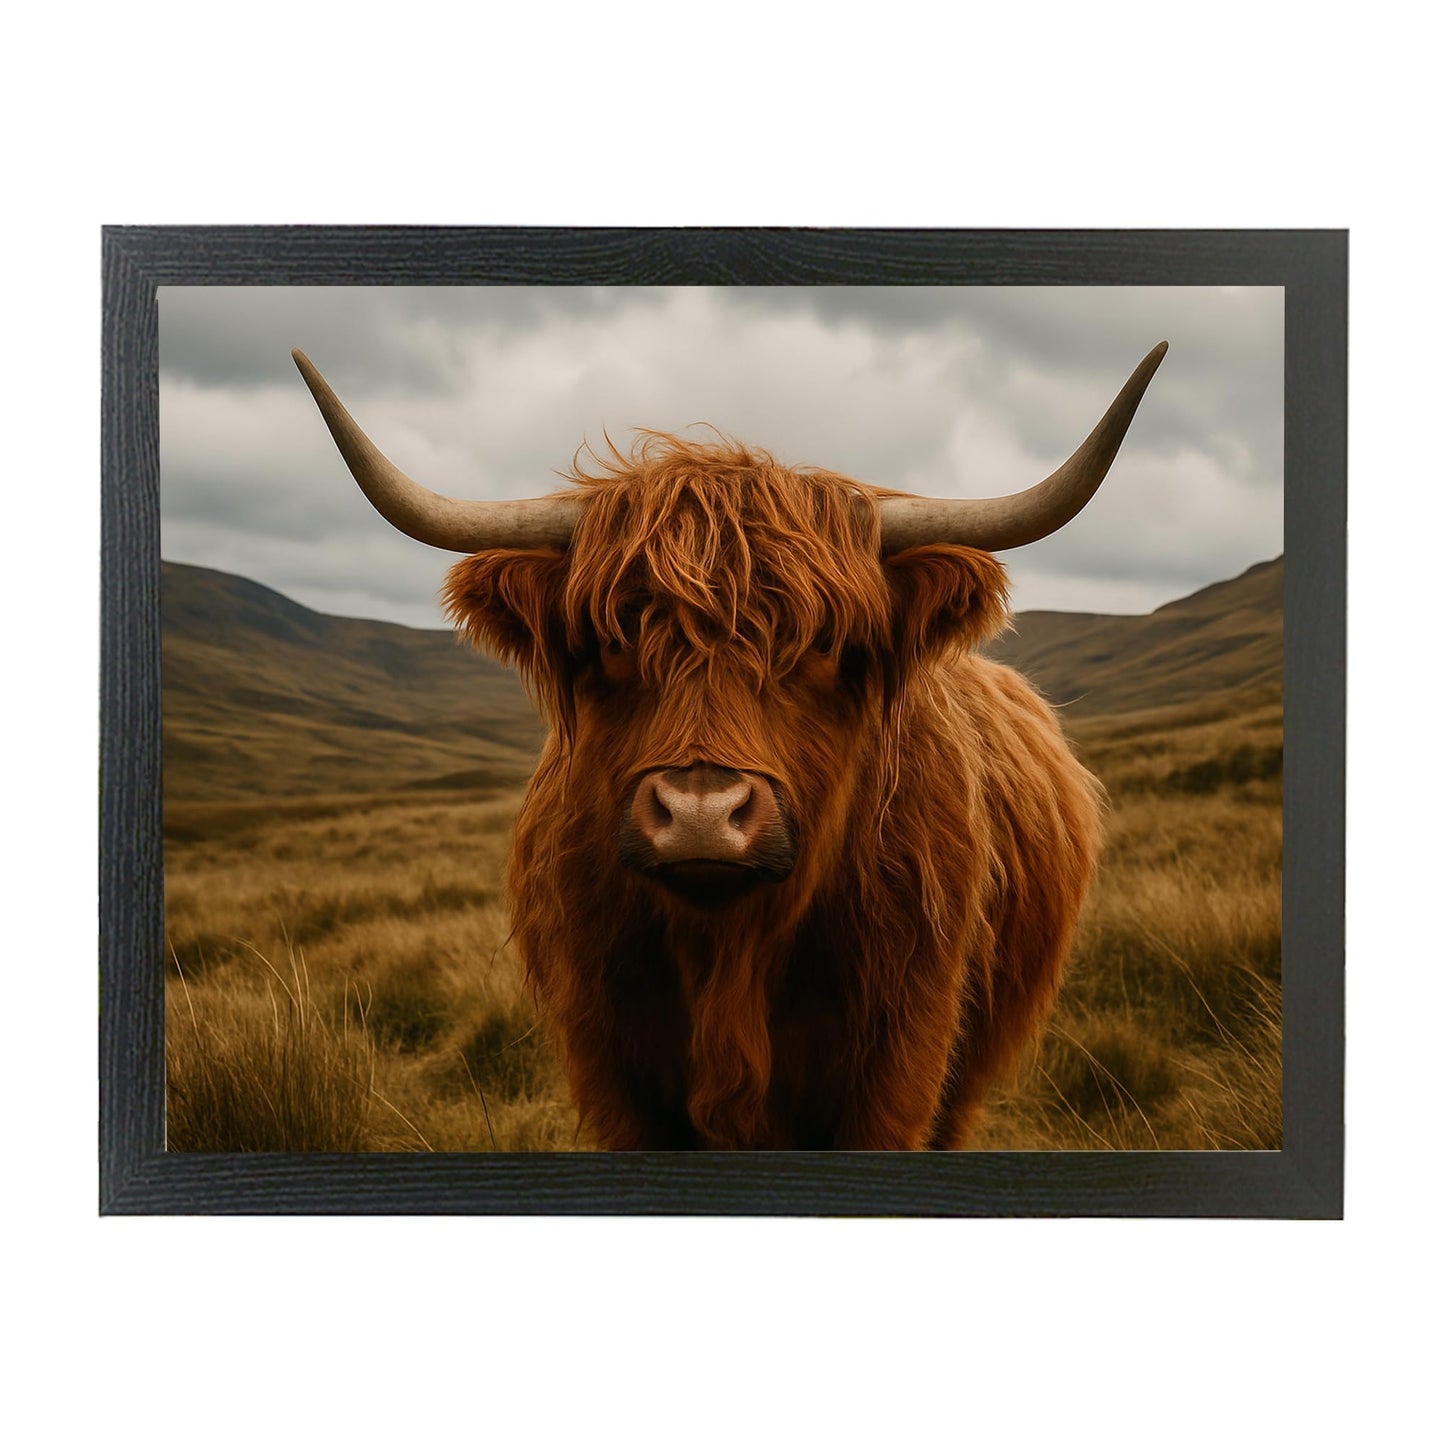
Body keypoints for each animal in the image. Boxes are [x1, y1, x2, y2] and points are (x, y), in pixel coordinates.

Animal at [293, 341, 1167, 1150]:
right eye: (613, 639)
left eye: (822, 643)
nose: (700, 814)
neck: (729, 955)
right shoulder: (615, 1069)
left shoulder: (899, 1063)